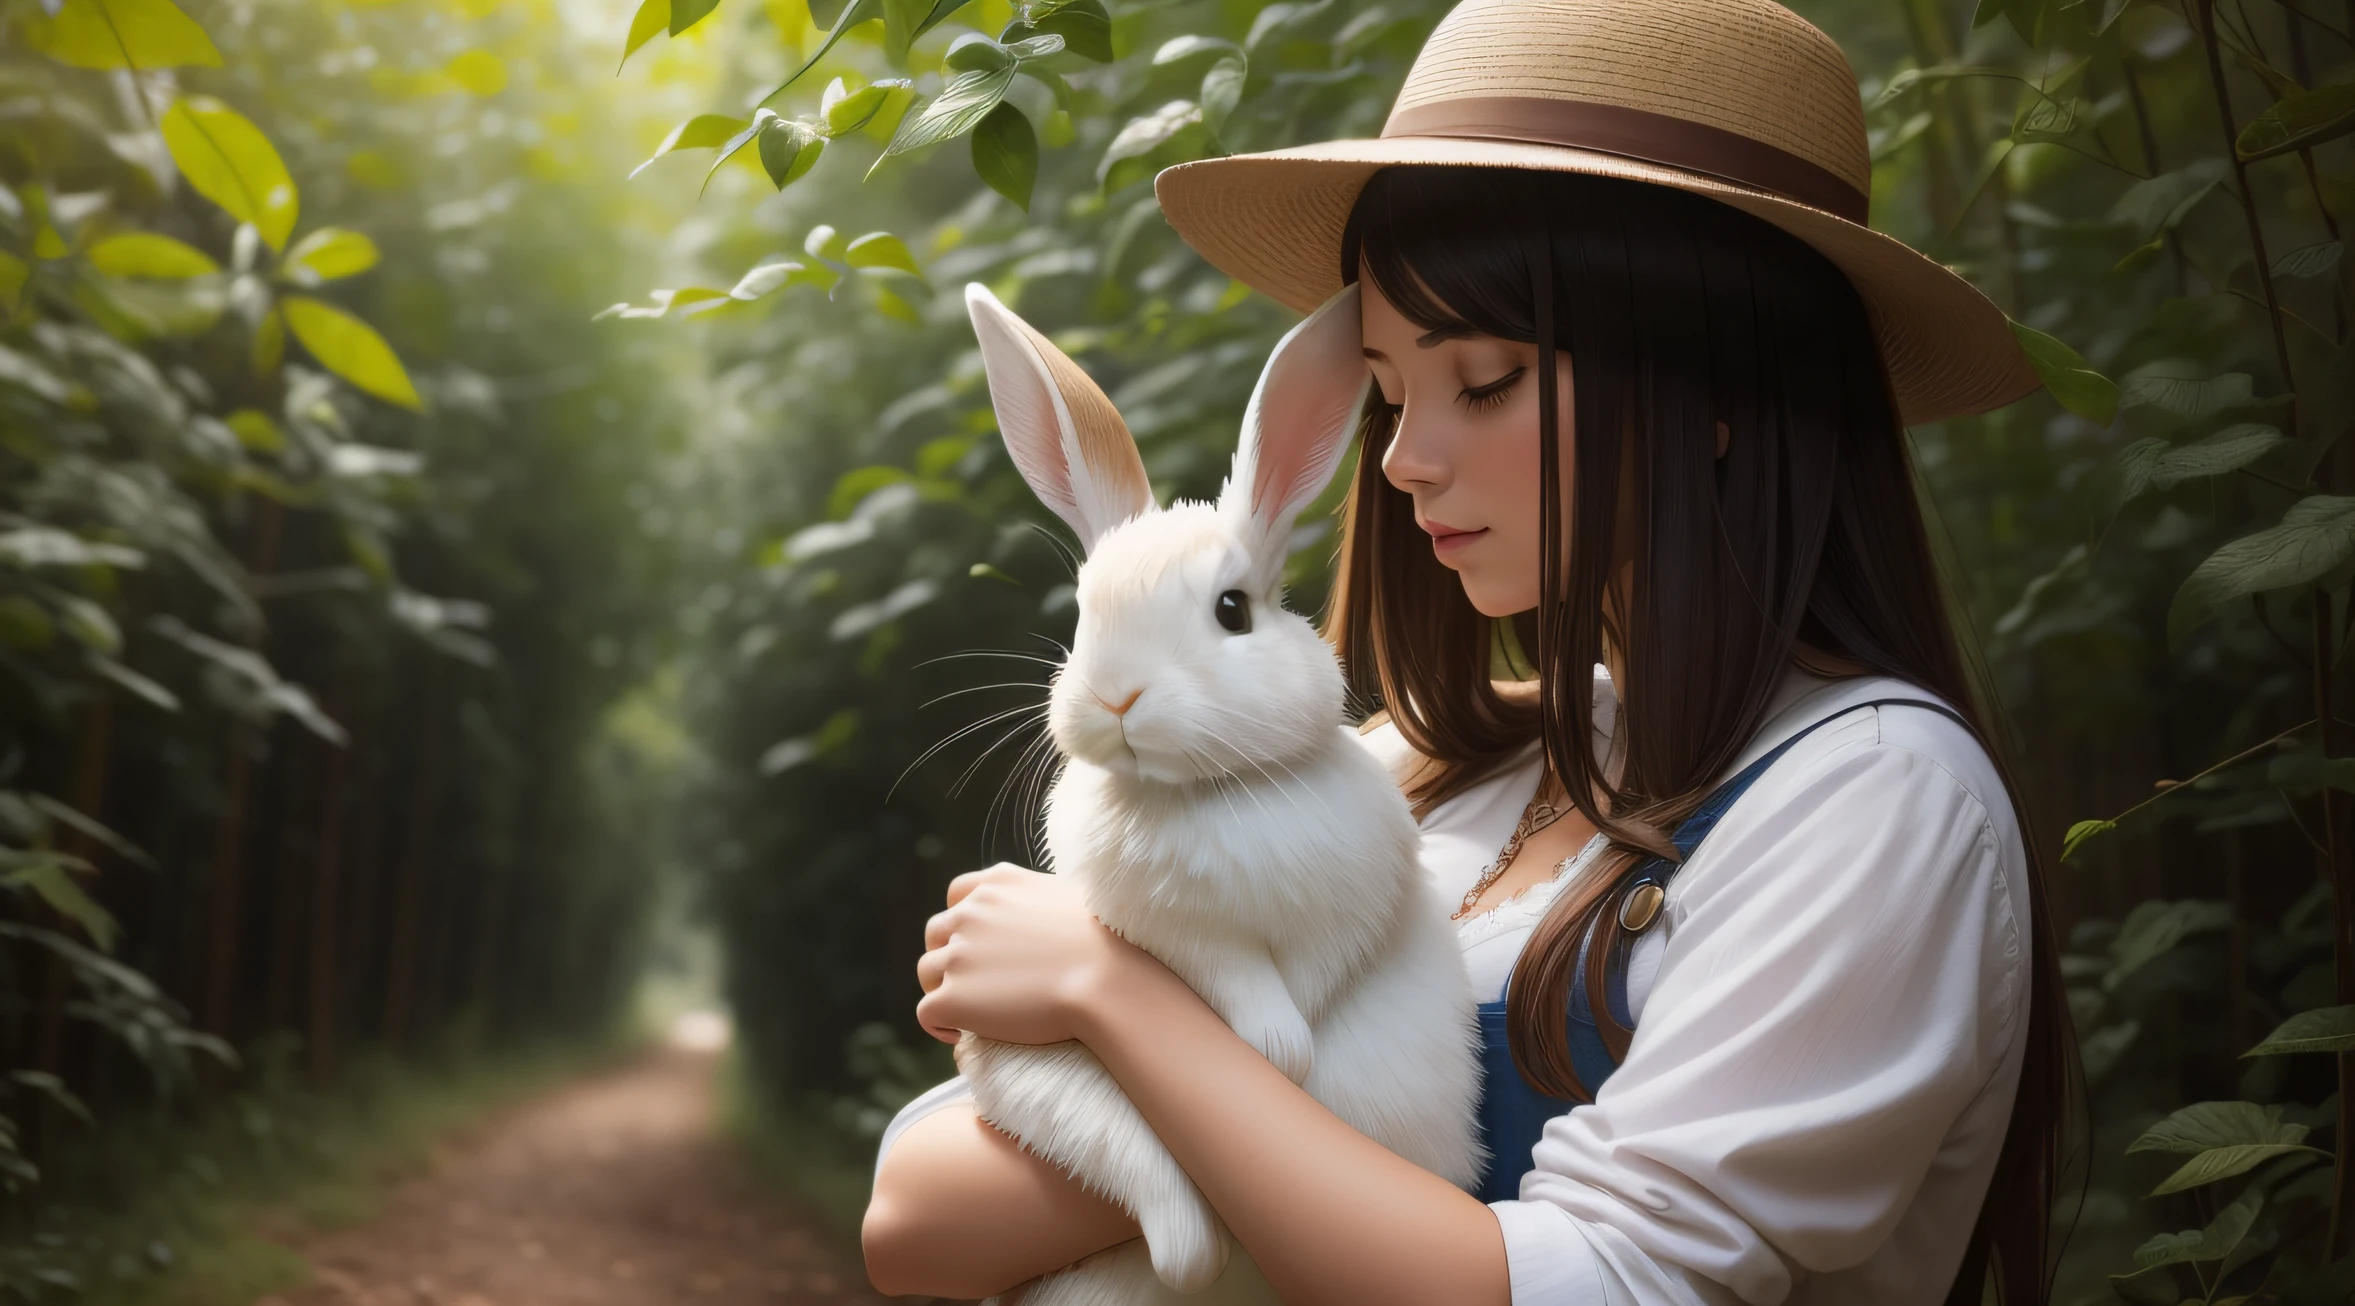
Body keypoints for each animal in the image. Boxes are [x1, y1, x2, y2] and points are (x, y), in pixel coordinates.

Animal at [951, 278, 1469, 1306]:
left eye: (1233, 610)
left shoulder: (1344, 916)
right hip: (1036, 1082)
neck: (1216, 792)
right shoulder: (1173, 934)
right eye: (1082, 611)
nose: (1117, 696)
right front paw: (1275, 1050)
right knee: (1166, 1215)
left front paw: (1287, 1055)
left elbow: (1311, 978)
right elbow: (1233, 974)